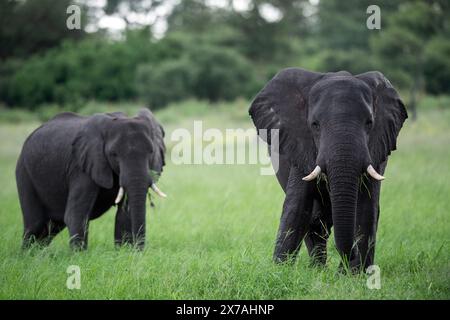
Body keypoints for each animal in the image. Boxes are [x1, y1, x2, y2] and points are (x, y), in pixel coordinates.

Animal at [15, 109, 168, 251]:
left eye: (151, 152)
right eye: (114, 154)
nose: (139, 251)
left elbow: (124, 215)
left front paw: (123, 252)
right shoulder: (81, 166)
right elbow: (76, 215)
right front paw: (78, 256)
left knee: (50, 227)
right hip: (24, 172)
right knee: (35, 224)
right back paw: (27, 256)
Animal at [250, 69, 408, 272]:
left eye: (369, 123)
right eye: (314, 125)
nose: (350, 255)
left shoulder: (376, 148)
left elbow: (367, 207)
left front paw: (354, 274)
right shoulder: (301, 144)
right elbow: (297, 205)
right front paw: (280, 271)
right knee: (315, 220)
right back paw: (318, 270)